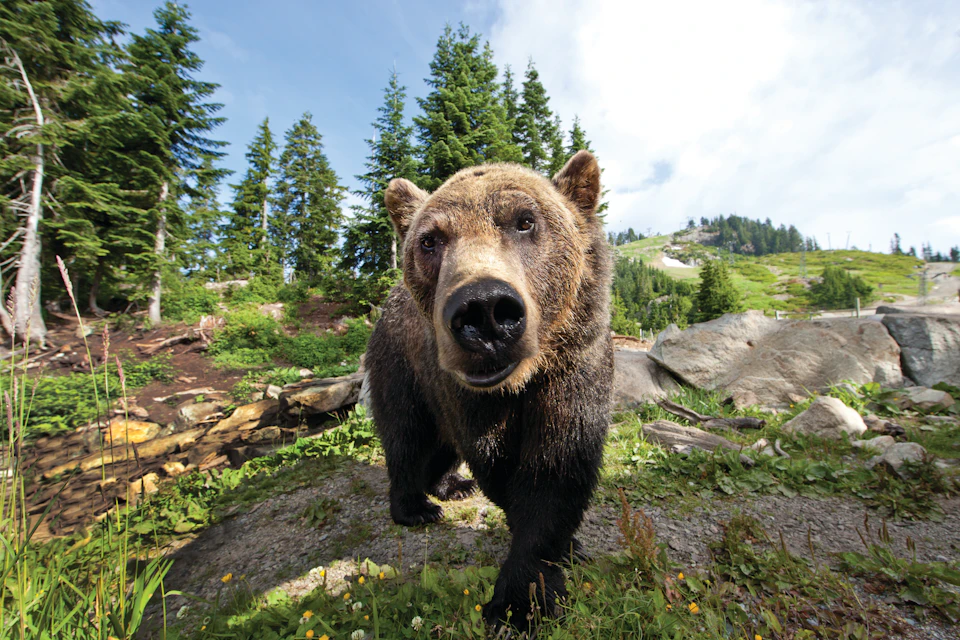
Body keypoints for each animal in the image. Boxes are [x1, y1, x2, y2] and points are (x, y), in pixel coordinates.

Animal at [365, 150, 612, 631]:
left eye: (524, 220)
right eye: (430, 240)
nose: (484, 310)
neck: (522, 381)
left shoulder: (575, 369)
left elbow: (557, 465)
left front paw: (537, 580)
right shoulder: (464, 392)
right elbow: (497, 462)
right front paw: (517, 604)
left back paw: (452, 485)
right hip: (401, 367)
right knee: (406, 435)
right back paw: (415, 506)